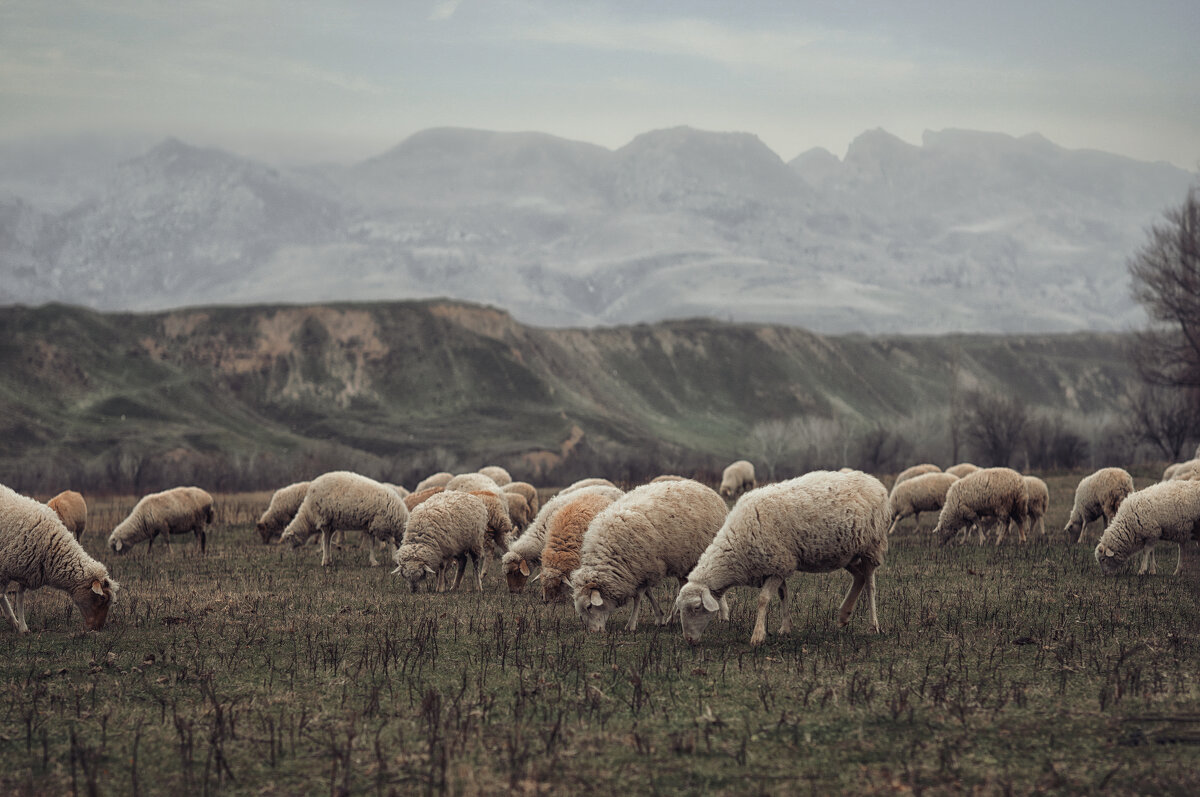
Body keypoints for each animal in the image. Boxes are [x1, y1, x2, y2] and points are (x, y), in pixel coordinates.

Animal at [1, 482, 119, 633]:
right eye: (102, 598)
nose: (97, 628)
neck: (50, 545)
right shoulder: (7, 569)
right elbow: (4, 595)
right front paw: (17, 623)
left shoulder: (26, 570)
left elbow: (19, 596)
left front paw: (20, 626)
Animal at [278, 472, 410, 566]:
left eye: (288, 539)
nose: (289, 553)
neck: (307, 516)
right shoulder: (376, 525)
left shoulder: (374, 525)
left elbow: (375, 543)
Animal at [573, 480, 729, 633]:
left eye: (589, 606)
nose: (594, 632)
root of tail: (706, 487)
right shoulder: (639, 570)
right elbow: (648, 593)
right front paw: (659, 617)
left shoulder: (644, 566)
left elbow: (638, 597)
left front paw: (631, 624)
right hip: (684, 560)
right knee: (683, 586)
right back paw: (673, 617)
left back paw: (723, 615)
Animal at [676, 470, 892, 643]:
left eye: (696, 607)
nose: (688, 640)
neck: (736, 544)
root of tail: (874, 481)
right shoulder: (778, 564)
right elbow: (783, 594)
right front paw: (785, 628)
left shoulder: (777, 563)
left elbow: (763, 599)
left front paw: (758, 635)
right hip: (845, 553)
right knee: (859, 577)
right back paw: (843, 615)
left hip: (871, 546)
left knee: (870, 584)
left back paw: (873, 625)